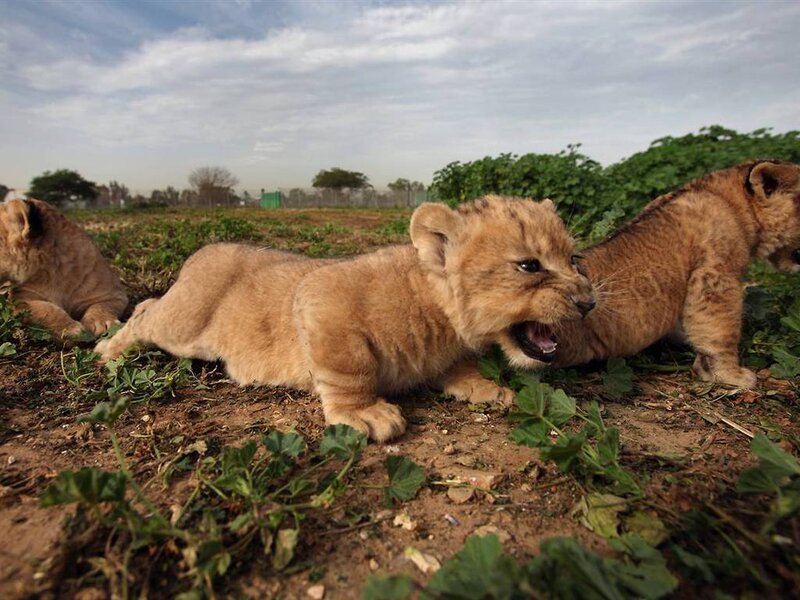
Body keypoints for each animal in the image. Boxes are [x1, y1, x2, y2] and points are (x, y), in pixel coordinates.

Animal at [0, 198, 128, 338]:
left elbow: (102, 305)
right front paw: (71, 329)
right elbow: (45, 309)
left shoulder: (113, 294)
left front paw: (101, 322)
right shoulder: (20, 301)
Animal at [95, 196, 596, 441]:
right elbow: (350, 367)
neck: (441, 315)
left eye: (575, 259)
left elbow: (460, 368)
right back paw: (108, 348)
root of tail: (201, 251)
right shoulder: (322, 298)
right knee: (144, 313)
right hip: (183, 325)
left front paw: (484, 387)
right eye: (529, 265)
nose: (589, 302)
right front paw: (365, 413)